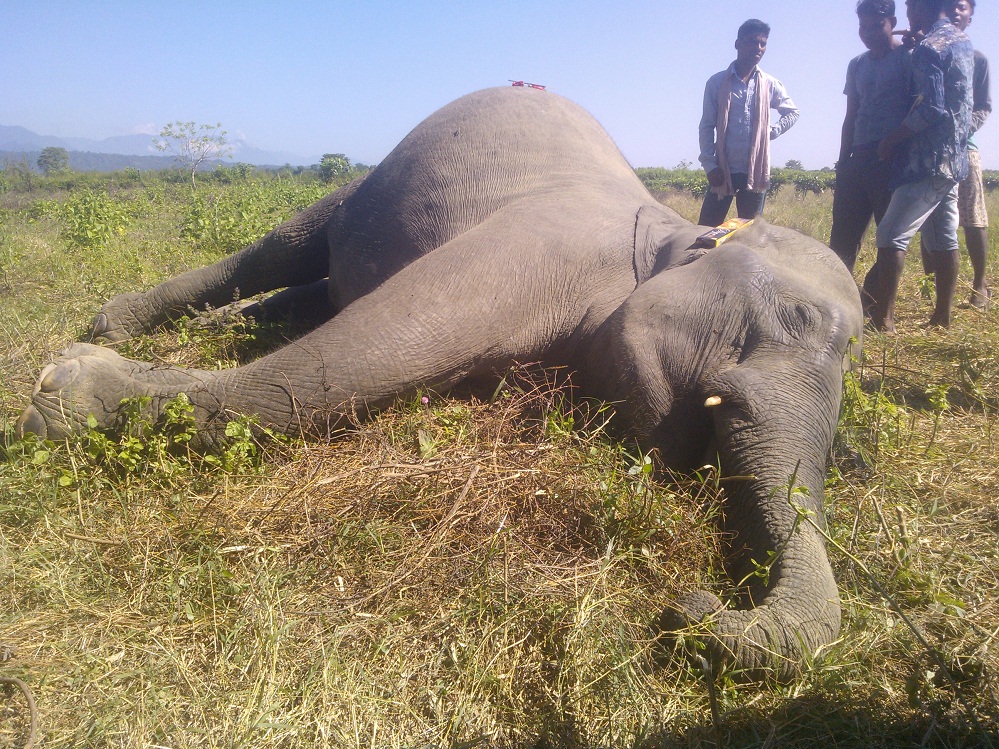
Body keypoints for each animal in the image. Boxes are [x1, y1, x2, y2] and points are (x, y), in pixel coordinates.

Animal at [16, 87, 863, 679]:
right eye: (797, 317)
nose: (691, 607)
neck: (667, 234)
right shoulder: (537, 246)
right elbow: (374, 345)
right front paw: (62, 389)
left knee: (309, 288)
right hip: (364, 182)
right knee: (283, 251)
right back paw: (111, 327)